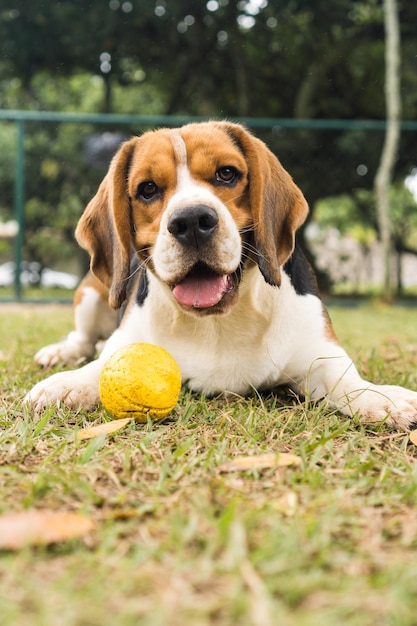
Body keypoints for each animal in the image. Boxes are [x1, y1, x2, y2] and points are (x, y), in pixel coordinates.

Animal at [25, 119, 416, 426]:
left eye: (226, 173)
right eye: (148, 189)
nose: (191, 221)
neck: (218, 321)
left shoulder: (320, 351)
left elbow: (347, 380)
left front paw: (383, 397)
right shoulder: (127, 338)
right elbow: (103, 364)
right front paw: (68, 384)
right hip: (92, 294)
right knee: (82, 339)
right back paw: (59, 353)